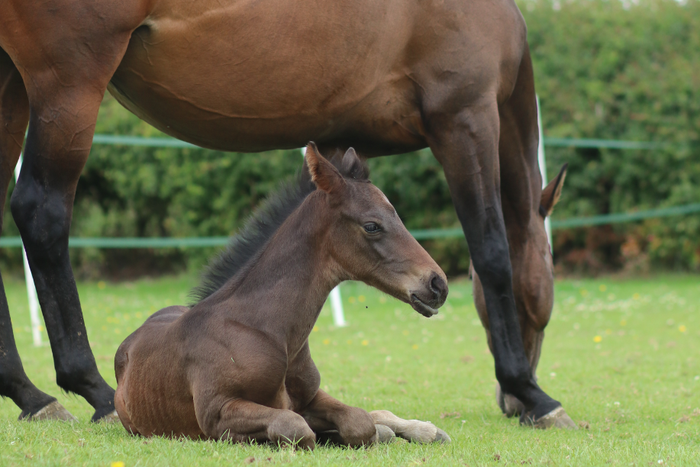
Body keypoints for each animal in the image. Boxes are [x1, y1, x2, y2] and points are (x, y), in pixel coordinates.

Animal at [113, 144, 450, 447]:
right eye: (371, 226)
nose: (438, 285)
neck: (267, 330)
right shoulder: (216, 412)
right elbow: (297, 427)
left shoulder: (312, 396)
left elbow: (359, 420)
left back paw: (427, 431)